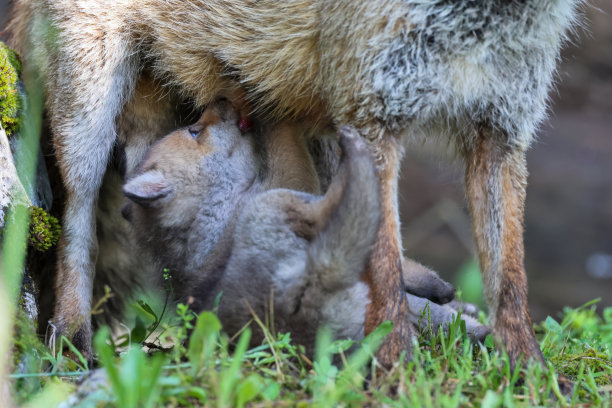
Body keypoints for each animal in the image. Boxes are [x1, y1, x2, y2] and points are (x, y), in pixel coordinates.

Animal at [4, 0, 580, 372]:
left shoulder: (502, 134)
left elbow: (510, 283)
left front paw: (529, 372)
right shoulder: (372, 121)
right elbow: (385, 274)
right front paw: (397, 367)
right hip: (88, 112)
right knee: (76, 224)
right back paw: (71, 336)